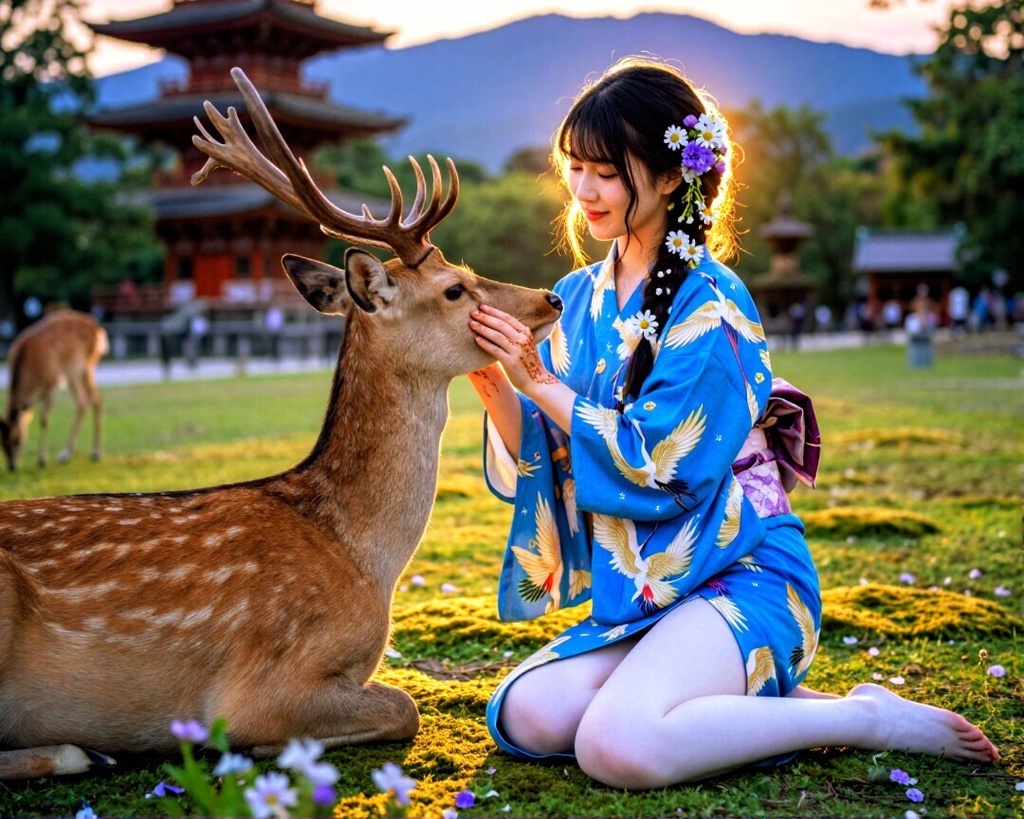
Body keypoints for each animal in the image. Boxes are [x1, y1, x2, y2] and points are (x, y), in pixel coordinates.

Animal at [0, 309, 108, 472]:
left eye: (17, 439)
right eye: (1, 444)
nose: (12, 466)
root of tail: (99, 331)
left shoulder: (52, 383)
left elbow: (44, 419)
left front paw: (42, 460)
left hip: (81, 367)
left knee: (90, 399)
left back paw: (88, 454)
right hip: (75, 372)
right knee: (88, 400)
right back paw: (73, 454)